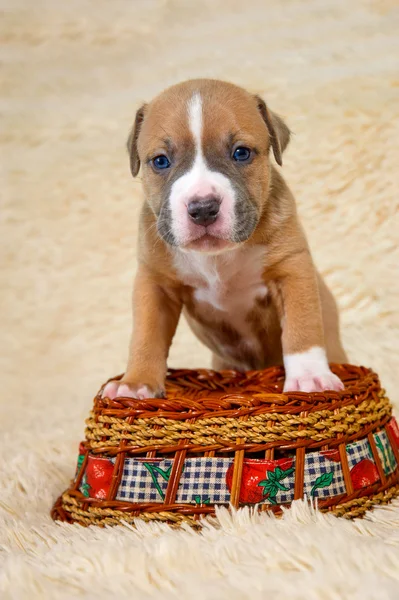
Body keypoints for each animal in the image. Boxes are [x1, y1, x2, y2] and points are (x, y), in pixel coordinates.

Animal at [102, 78, 346, 398]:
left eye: (241, 153)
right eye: (160, 161)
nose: (203, 208)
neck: (216, 259)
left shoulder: (291, 269)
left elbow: (302, 326)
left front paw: (310, 377)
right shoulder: (154, 284)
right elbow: (146, 335)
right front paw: (135, 384)